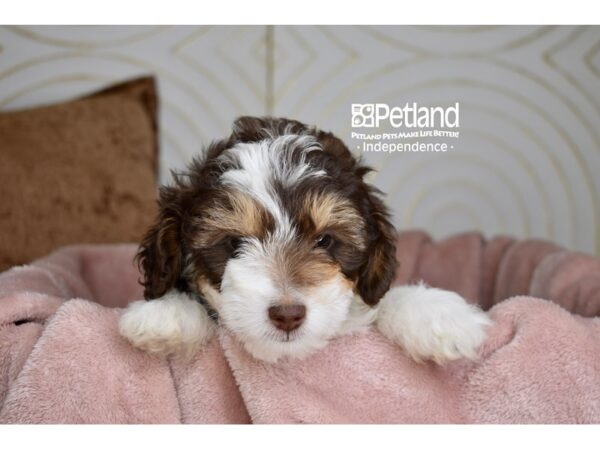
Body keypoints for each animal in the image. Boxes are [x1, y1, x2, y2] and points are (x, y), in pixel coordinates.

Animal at [119, 115, 490, 362]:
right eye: (234, 244)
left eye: (325, 240)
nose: (288, 315)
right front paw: (166, 315)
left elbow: (380, 299)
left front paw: (439, 317)